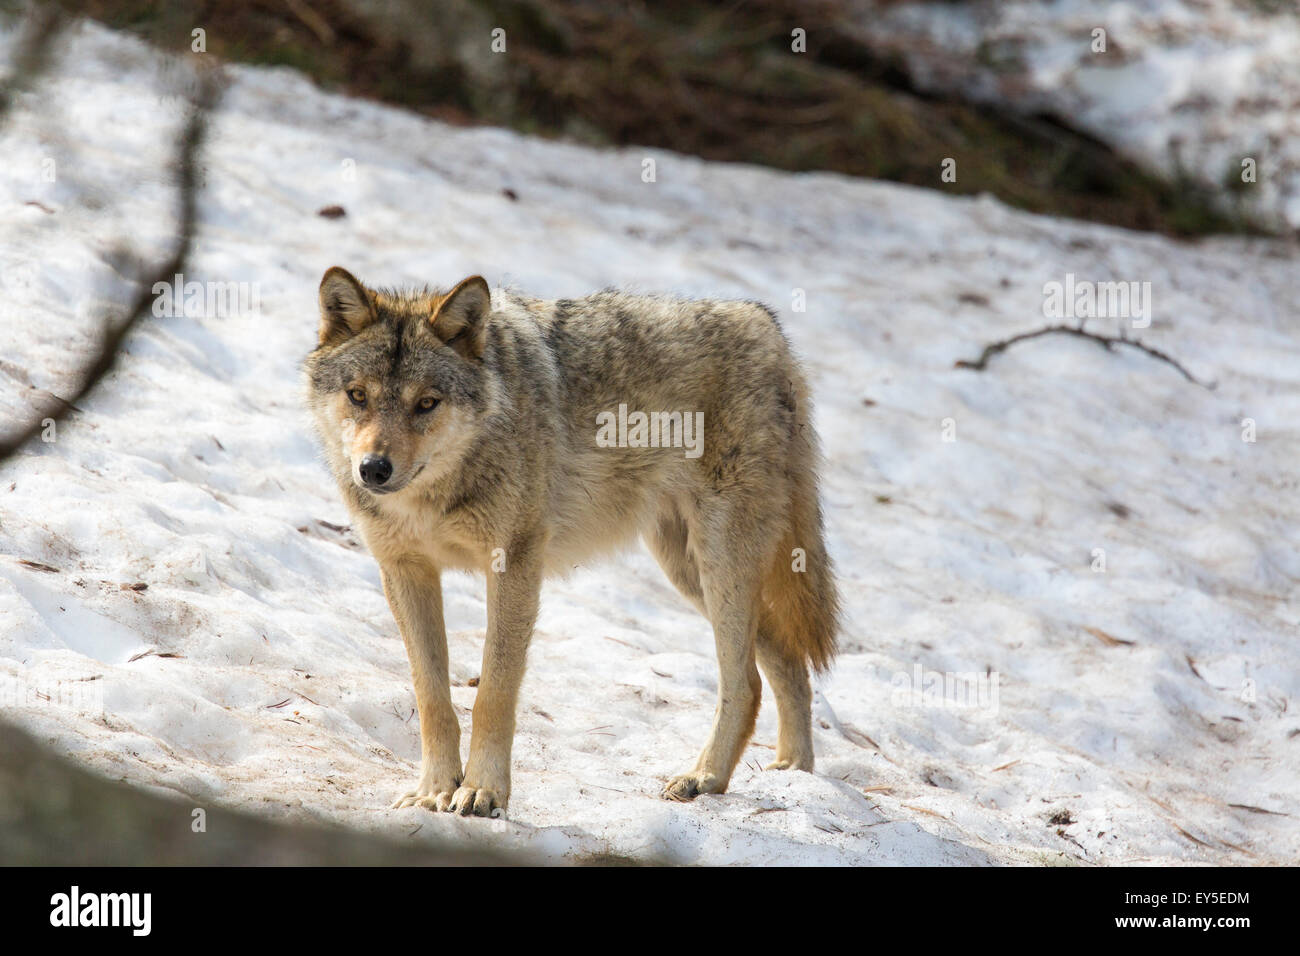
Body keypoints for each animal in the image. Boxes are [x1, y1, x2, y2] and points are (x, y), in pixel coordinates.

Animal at [304, 267, 839, 816]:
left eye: (426, 403)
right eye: (358, 395)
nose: (374, 468)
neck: (432, 497)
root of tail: (768, 327)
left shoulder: (515, 564)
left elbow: (493, 691)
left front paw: (483, 791)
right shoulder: (404, 570)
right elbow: (432, 694)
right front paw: (434, 790)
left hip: (719, 562)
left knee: (747, 682)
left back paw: (704, 777)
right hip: (689, 571)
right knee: (786, 660)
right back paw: (795, 774)